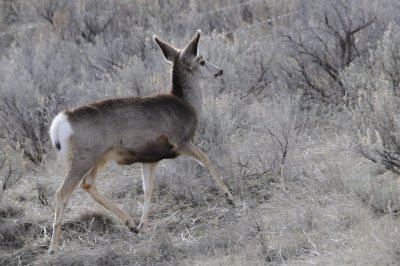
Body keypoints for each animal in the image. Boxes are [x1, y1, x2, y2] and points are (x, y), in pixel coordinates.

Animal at [47, 30, 234, 252]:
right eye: (202, 61)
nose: (220, 70)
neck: (186, 105)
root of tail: (59, 124)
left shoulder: (150, 158)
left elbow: (148, 189)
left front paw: (143, 226)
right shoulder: (180, 140)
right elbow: (206, 159)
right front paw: (229, 197)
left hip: (100, 157)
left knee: (88, 184)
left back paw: (130, 223)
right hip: (84, 157)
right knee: (61, 193)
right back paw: (53, 247)